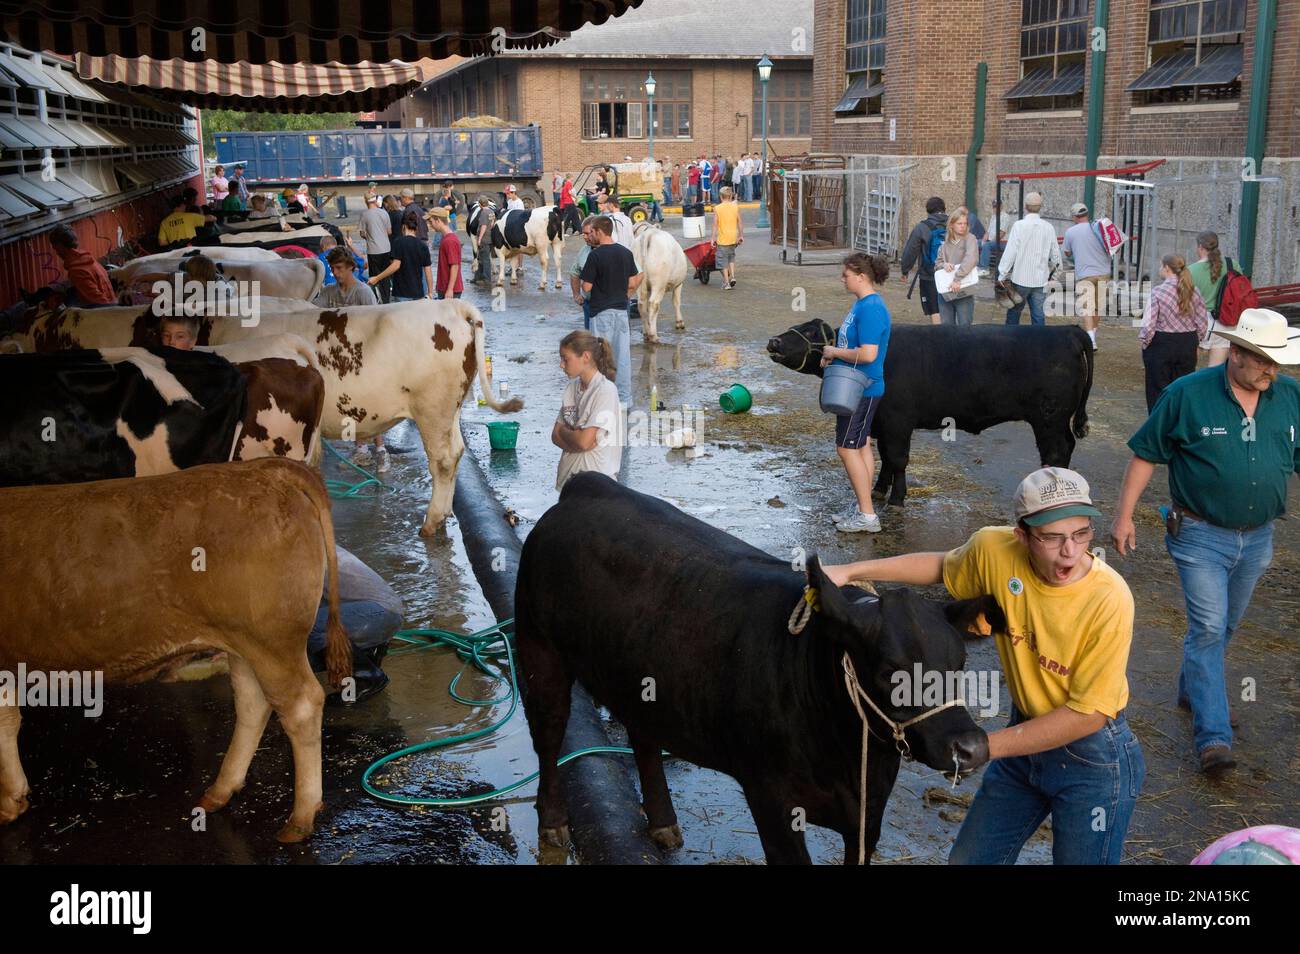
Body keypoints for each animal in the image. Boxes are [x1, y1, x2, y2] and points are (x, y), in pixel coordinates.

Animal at [0, 462, 353, 842]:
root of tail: (267, 469)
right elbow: (8, 720)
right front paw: (14, 798)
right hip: (243, 644)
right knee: (253, 703)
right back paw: (220, 791)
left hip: (271, 644)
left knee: (300, 706)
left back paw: (300, 817)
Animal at [512, 475, 998, 868]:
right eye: (892, 671)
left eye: (959, 663)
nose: (972, 748)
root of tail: (590, 486)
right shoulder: (772, 800)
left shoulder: (868, 816)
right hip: (539, 650)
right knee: (549, 735)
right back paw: (552, 823)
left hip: (640, 674)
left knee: (643, 736)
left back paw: (664, 823)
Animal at [764, 323, 1092, 509]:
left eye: (810, 331)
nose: (773, 341)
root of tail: (1068, 330)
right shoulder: (883, 423)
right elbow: (885, 457)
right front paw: (879, 489)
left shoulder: (898, 421)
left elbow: (898, 459)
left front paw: (897, 499)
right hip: (1056, 420)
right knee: (1067, 446)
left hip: (1049, 418)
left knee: (1056, 451)